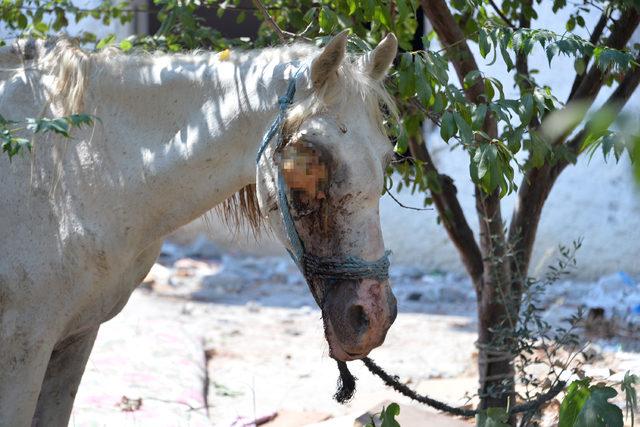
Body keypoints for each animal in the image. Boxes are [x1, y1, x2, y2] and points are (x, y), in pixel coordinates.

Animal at [1, 31, 400, 426]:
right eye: (308, 155)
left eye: (385, 154)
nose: (373, 317)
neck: (75, 171)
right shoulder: (23, 350)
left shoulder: (77, 338)